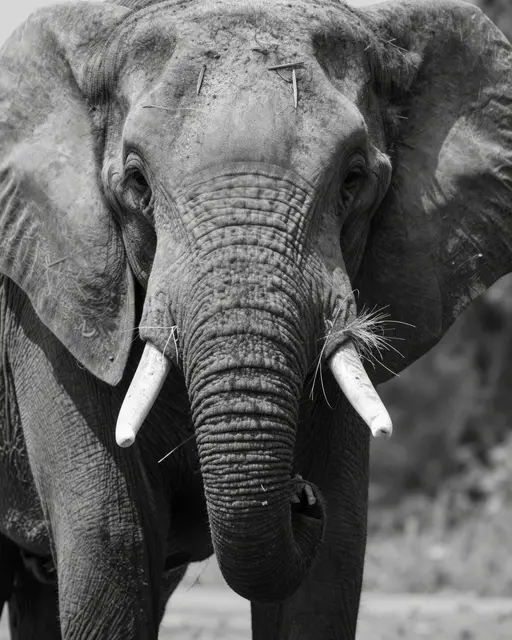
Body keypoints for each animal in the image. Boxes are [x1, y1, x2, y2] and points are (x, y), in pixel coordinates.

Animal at [0, 0, 511, 637]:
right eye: (137, 183)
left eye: (353, 180)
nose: (299, 495)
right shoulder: (55, 304)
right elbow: (111, 546)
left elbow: (329, 570)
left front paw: (320, 503)